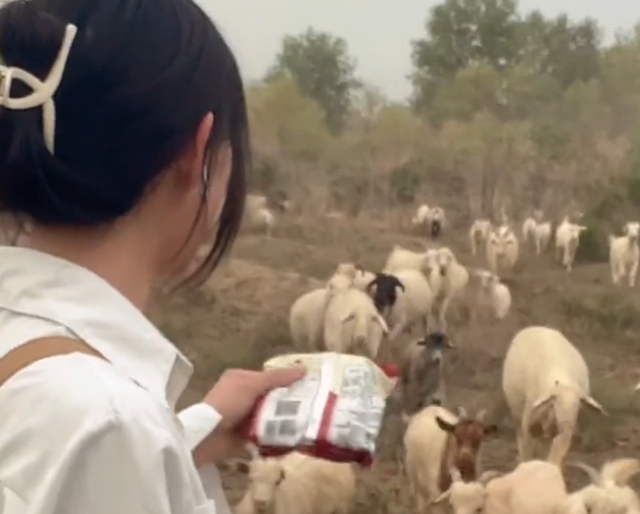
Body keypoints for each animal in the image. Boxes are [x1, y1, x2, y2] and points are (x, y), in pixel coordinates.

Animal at [500, 326, 604, 466]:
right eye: (554, 399)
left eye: (579, 403)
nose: (564, 423)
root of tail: (537, 326)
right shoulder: (530, 421)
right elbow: (527, 448)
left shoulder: (563, 431)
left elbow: (555, 454)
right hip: (517, 410)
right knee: (521, 436)